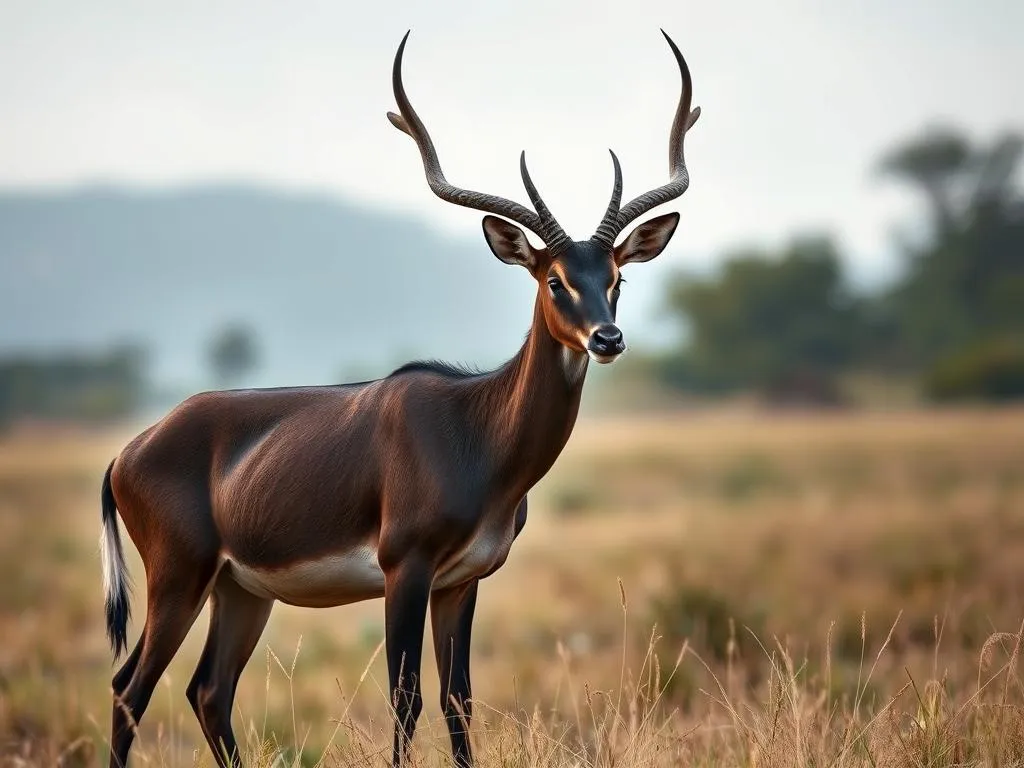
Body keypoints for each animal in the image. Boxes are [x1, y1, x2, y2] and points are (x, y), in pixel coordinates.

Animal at [99, 28, 700, 768]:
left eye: (616, 276)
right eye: (554, 278)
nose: (608, 338)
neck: (477, 433)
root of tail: (127, 453)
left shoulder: (462, 580)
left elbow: (457, 701)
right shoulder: (404, 571)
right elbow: (405, 699)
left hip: (239, 590)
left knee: (208, 690)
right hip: (179, 578)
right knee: (130, 688)